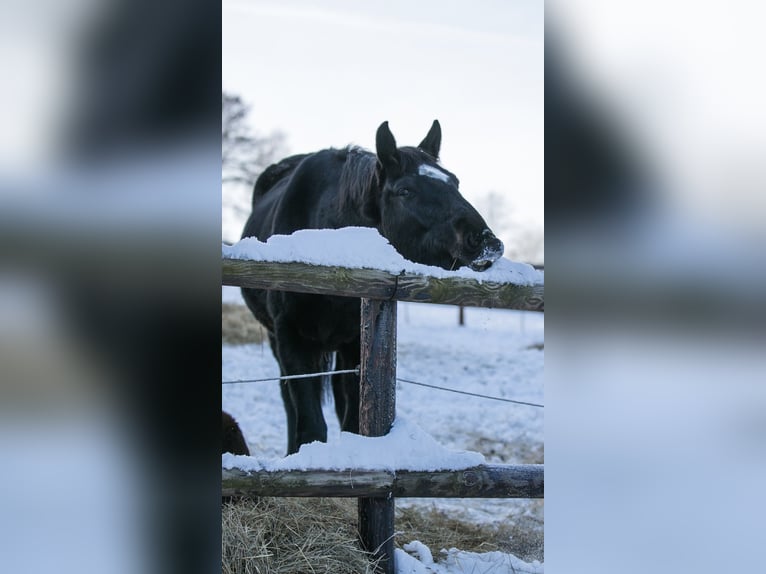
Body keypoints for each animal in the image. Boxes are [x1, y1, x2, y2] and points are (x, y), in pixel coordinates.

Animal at [241, 120, 504, 455]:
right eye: (405, 191)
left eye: (455, 182)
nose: (486, 242)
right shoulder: (290, 338)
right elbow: (310, 427)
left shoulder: (356, 342)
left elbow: (352, 422)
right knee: (288, 399)